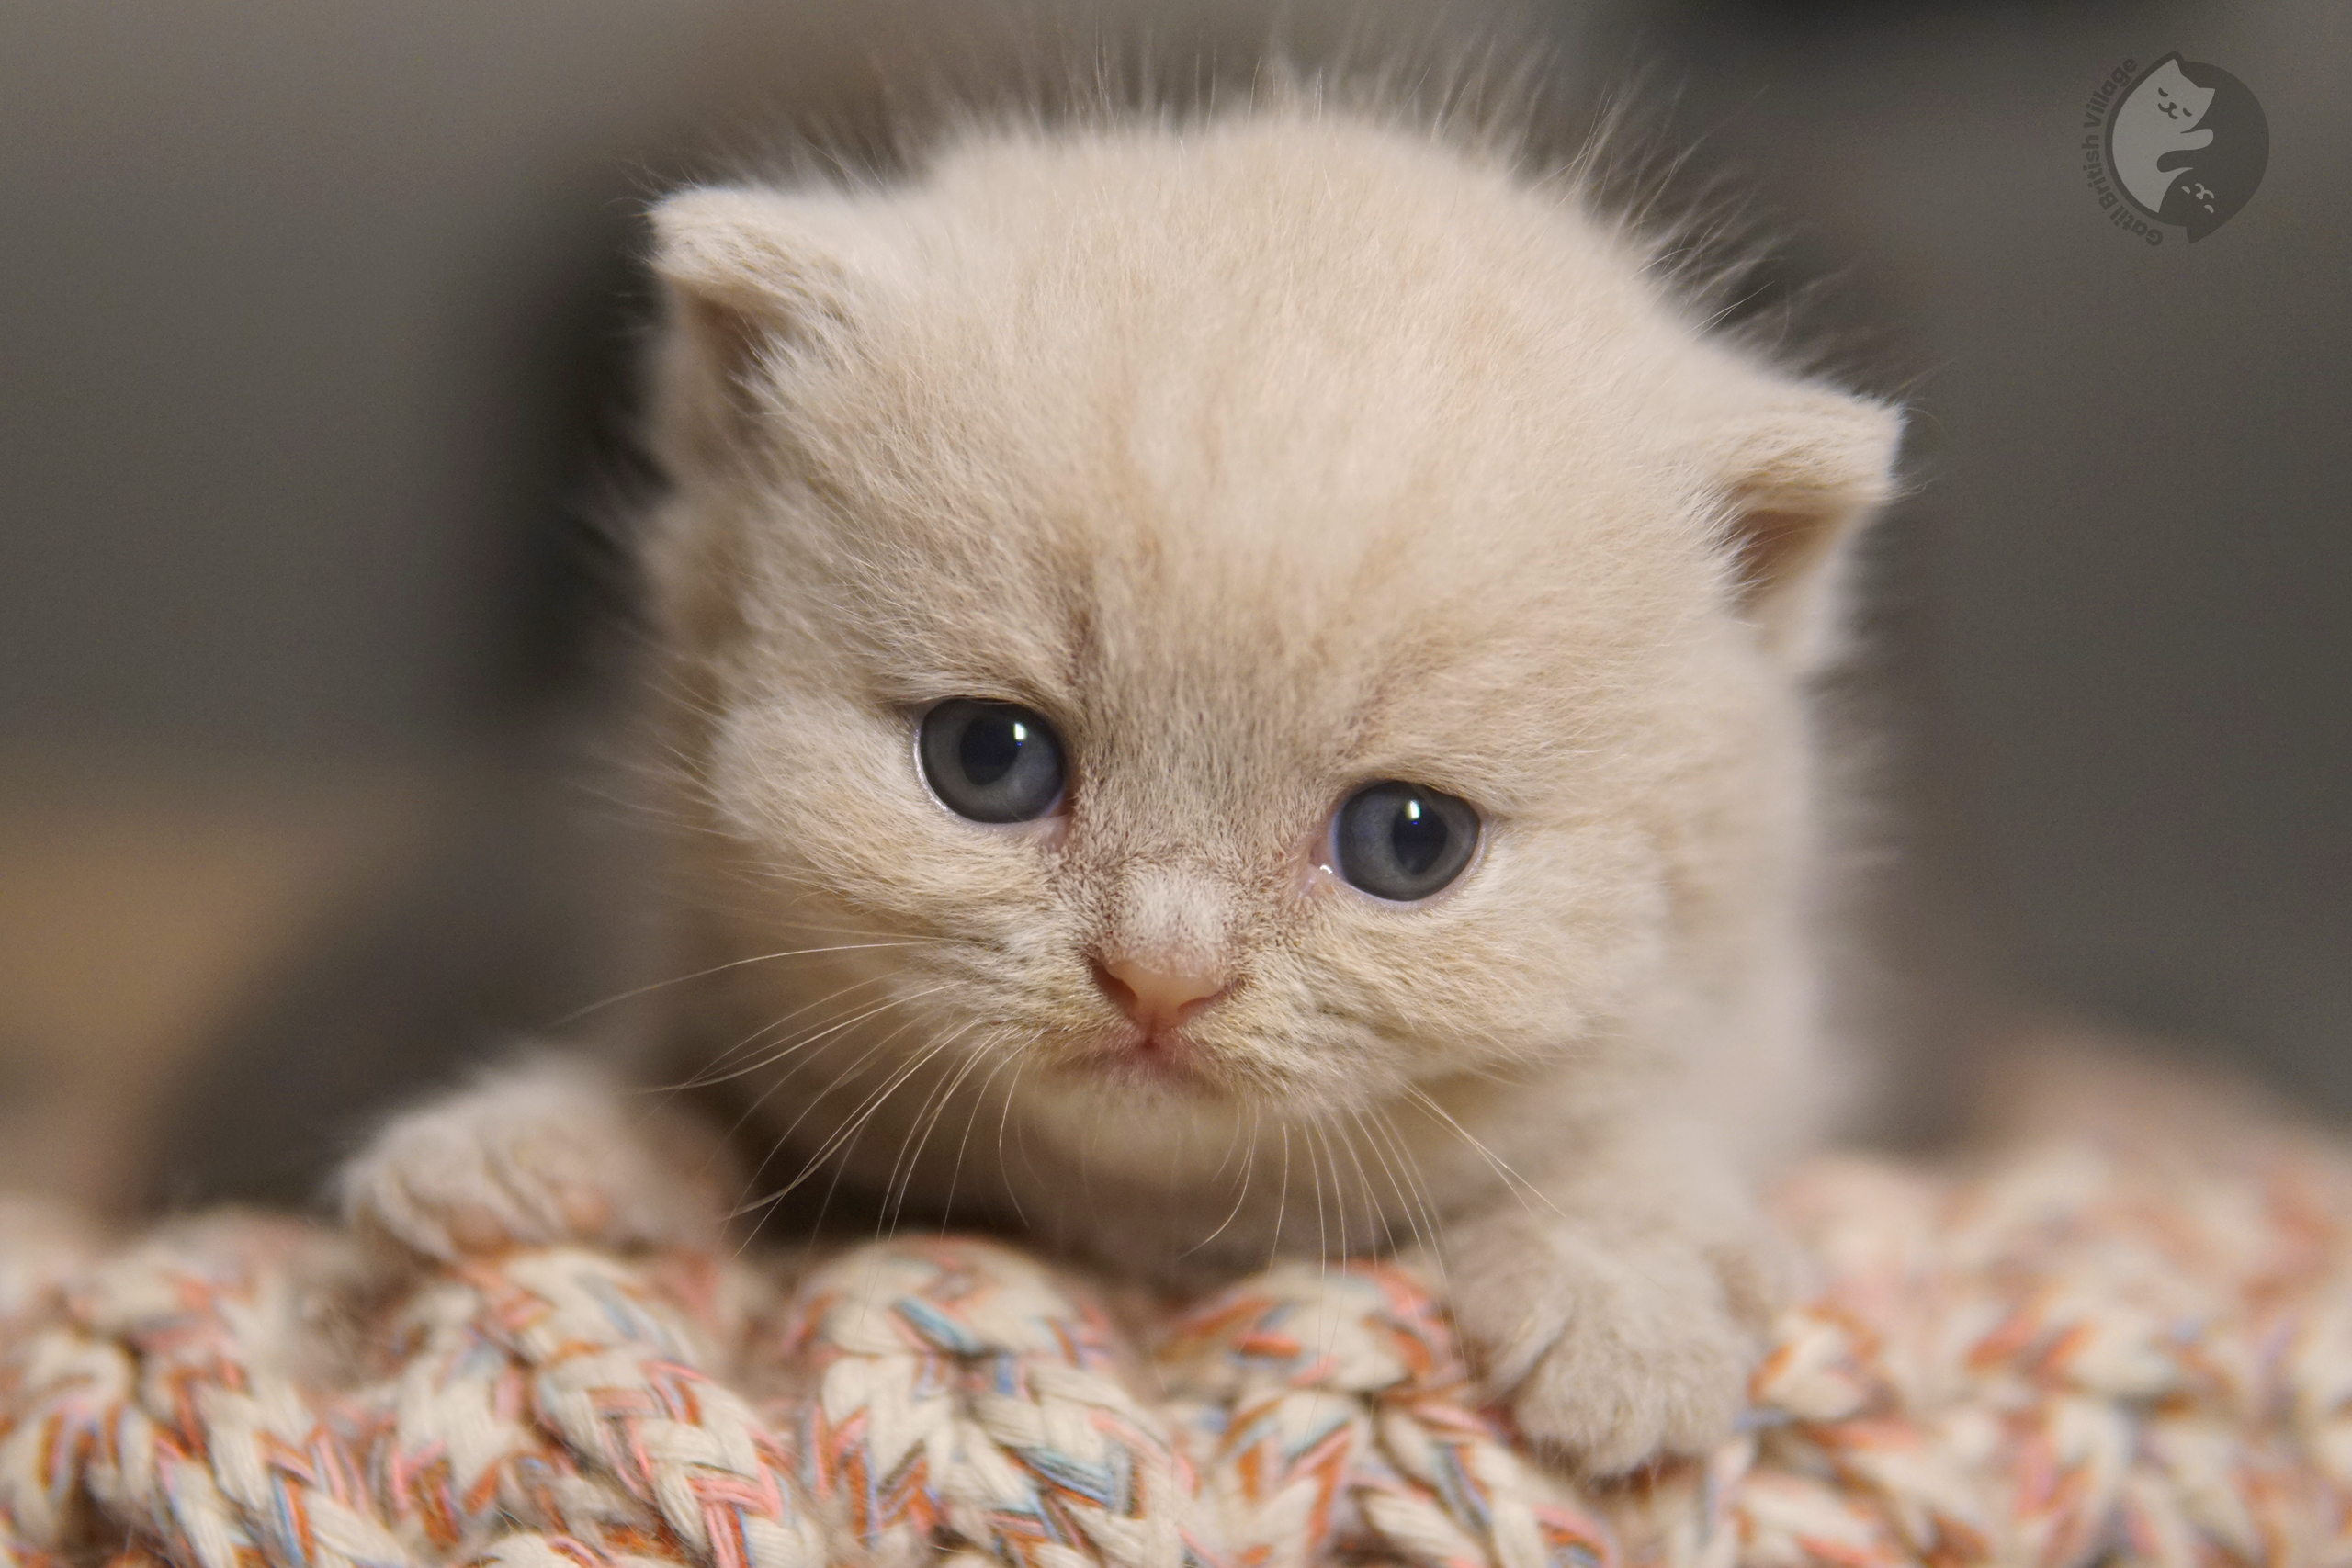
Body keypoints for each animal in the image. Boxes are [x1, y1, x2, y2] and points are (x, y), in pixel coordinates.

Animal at [341, 97, 1900, 1476]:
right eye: (989, 759)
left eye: (1410, 842)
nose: (1163, 969)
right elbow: (694, 1085)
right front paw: (543, 1139)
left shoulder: (1753, 1037)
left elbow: (1642, 1137)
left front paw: (1629, 1309)